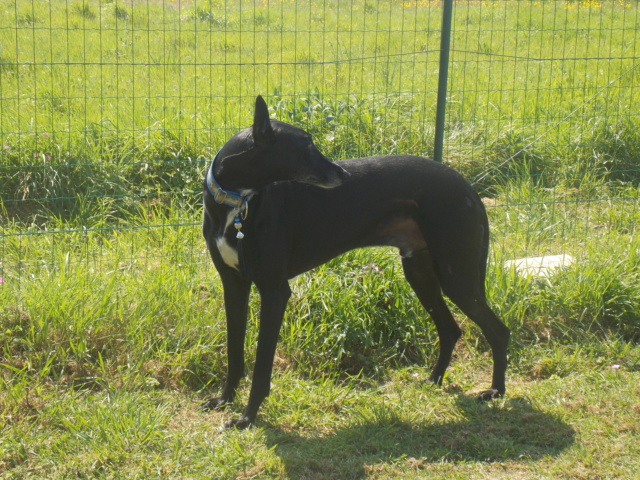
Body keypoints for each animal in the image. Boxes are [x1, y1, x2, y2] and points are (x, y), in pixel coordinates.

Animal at [202, 95, 508, 430]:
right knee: (451, 330)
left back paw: (495, 390)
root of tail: (465, 184)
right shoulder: (233, 285)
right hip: (420, 274)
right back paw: (434, 380)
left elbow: (261, 367)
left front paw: (247, 417)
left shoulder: (274, 291)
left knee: (498, 331)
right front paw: (224, 399)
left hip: (457, 276)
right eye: (306, 146)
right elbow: (234, 352)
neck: (235, 202)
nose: (344, 175)